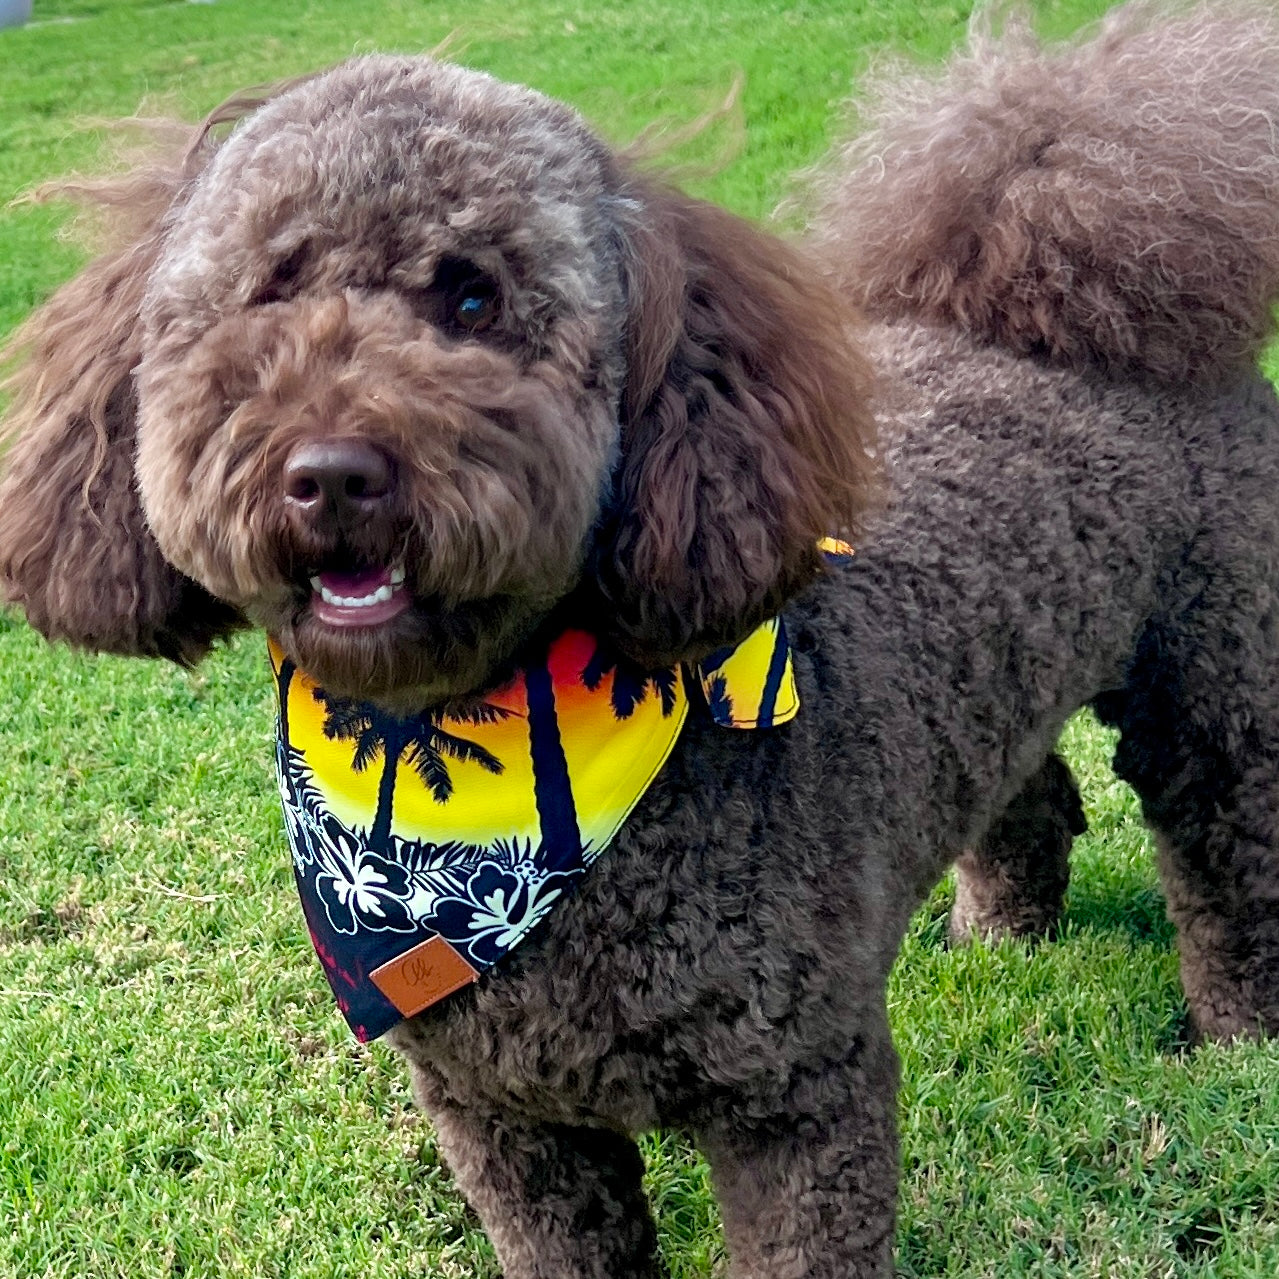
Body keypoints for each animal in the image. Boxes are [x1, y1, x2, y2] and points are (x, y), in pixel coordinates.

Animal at [4, 3, 1279, 1274]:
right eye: (270, 289)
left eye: (472, 300)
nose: (332, 473)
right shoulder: (504, 1120)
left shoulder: (793, 1092)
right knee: (1024, 791)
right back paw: (1004, 936)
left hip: (1216, 687)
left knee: (1230, 853)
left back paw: (1237, 1042)